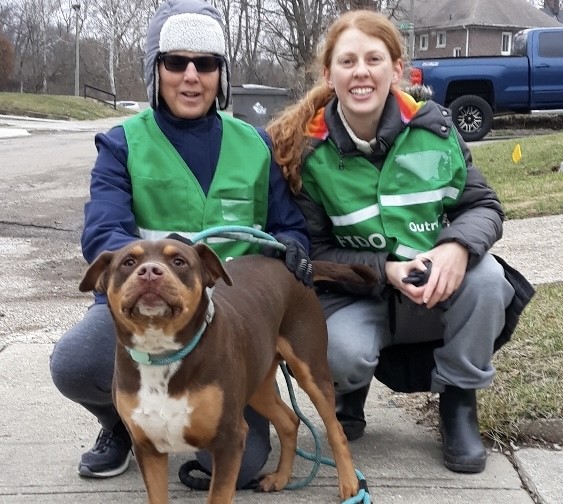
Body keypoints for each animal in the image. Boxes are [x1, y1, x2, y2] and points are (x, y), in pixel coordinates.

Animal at [79, 238, 376, 502]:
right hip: (257, 383)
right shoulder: (147, 446)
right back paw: (280, 478)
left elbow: (219, 496)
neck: (163, 355)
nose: (150, 271)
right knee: (289, 420)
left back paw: (350, 483)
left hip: (310, 367)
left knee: (334, 430)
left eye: (179, 261)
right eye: (128, 262)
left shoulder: (229, 440)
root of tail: (288, 263)